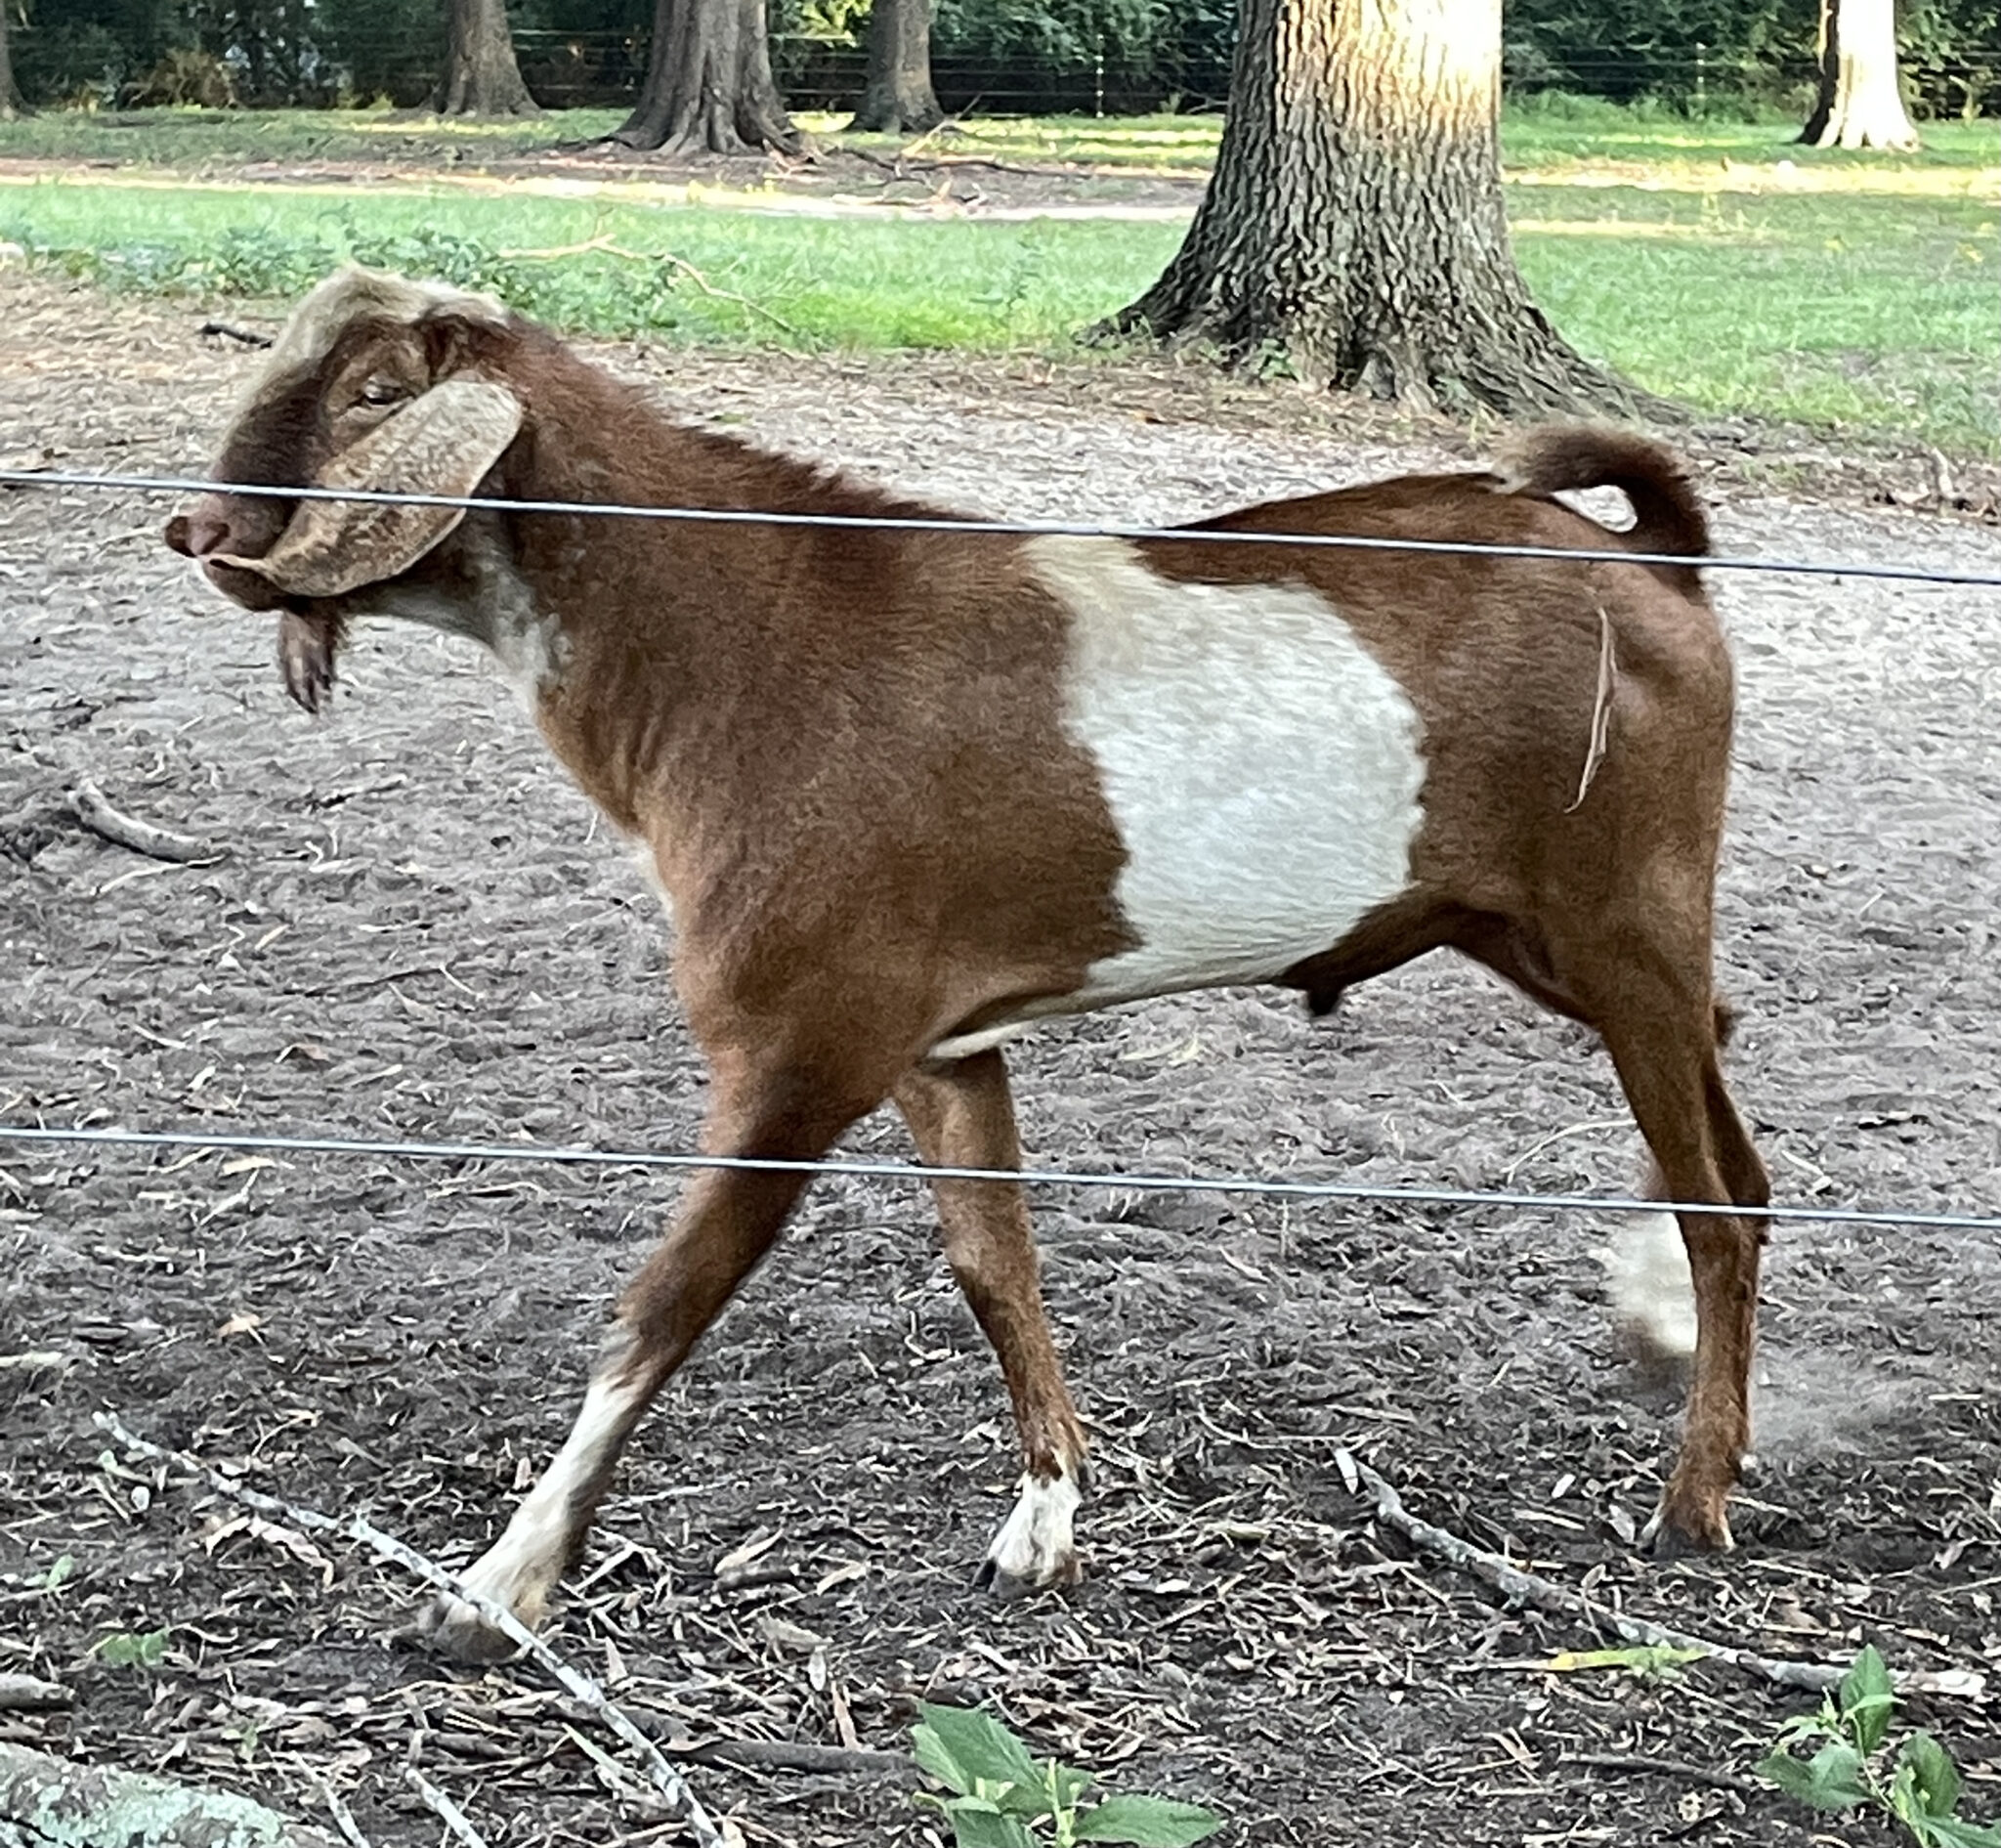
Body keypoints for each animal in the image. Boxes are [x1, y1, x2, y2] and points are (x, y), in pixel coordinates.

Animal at [166, 267, 1770, 1662]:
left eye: (375, 393)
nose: (196, 526)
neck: (742, 639)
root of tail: (1654, 563)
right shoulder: (937, 1044)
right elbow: (993, 1262)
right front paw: (1043, 1523)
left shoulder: (799, 1047)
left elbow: (666, 1301)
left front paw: (496, 1589)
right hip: (1536, 929)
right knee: (1728, 1092)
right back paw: (1659, 1337)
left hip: (1619, 914)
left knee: (1722, 1191)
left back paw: (1693, 1496)